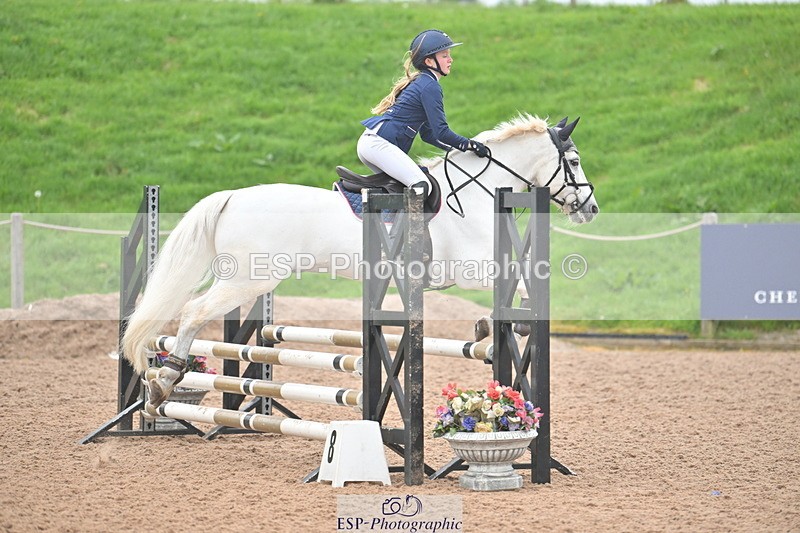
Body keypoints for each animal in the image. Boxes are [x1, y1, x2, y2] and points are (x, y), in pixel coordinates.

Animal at [121, 113, 598, 407]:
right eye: (574, 161)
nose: (590, 209)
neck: (479, 192)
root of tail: (233, 196)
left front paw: (492, 327)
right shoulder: (472, 270)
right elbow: (517, 286)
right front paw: (497, 325)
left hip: (248, 280)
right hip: (248, 281)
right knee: (192, 312)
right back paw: (164, 381)